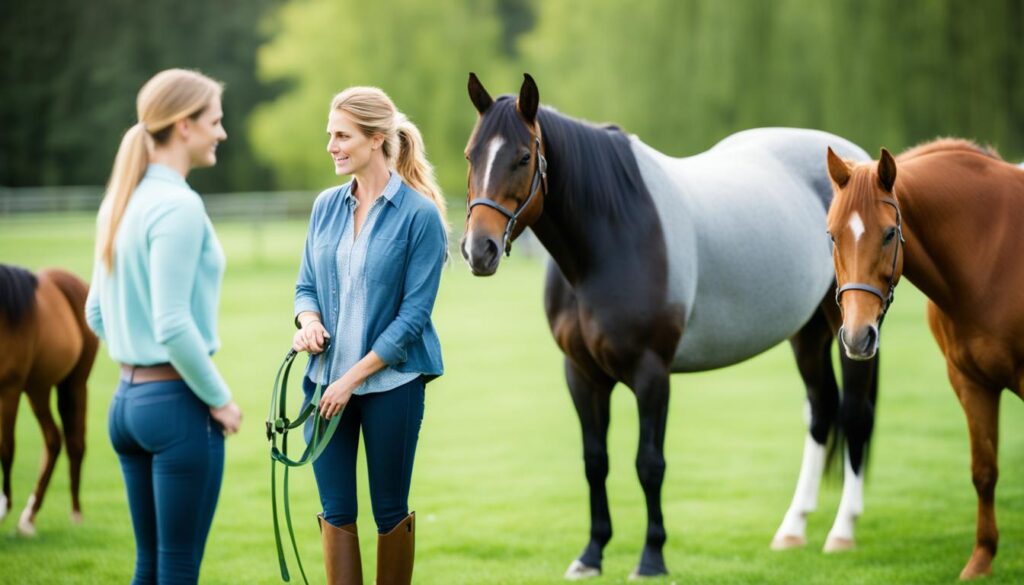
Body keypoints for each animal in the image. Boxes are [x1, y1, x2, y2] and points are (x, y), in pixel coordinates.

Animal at [0, 264, 96, 536]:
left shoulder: (9, 390)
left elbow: (6, 447)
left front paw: (3, 507)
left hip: (74, 384)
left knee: (73, 443)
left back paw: (75, 513)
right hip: (38, 388)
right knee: (53, 439)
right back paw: (29, 517)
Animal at [462, 74, 880, 581]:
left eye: (524, 157)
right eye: (470, 155)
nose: (478, 249)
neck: (611, 235)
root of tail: (856, 162)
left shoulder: (651, 374)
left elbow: (649, 464)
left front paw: (651, 558)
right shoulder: (581, 374)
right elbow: (595, 461)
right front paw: (591, 554)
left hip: (853, 331)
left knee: (854, 415)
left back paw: (842, 531)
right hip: (808, 333)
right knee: (821, 412)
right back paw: (792, 529)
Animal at [823, 138, 1024, 581]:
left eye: (889, 233)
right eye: (831, 235)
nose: (857, 336)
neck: (994, 256)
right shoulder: (971, 382)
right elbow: (984, 471)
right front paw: (981, 560)